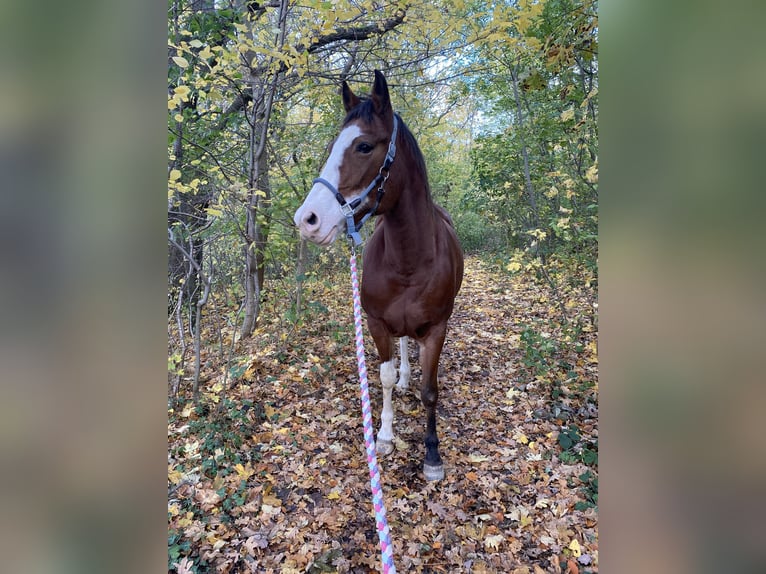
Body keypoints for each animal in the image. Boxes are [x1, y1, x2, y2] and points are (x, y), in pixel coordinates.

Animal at [294, 70, 464, 481]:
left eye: (364, 146)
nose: (307, 220)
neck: (409, 260)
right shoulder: (376, 323)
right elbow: (383, 378)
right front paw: (384, 435)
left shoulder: (437, 329)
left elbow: (430, 390)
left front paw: (432, 455)